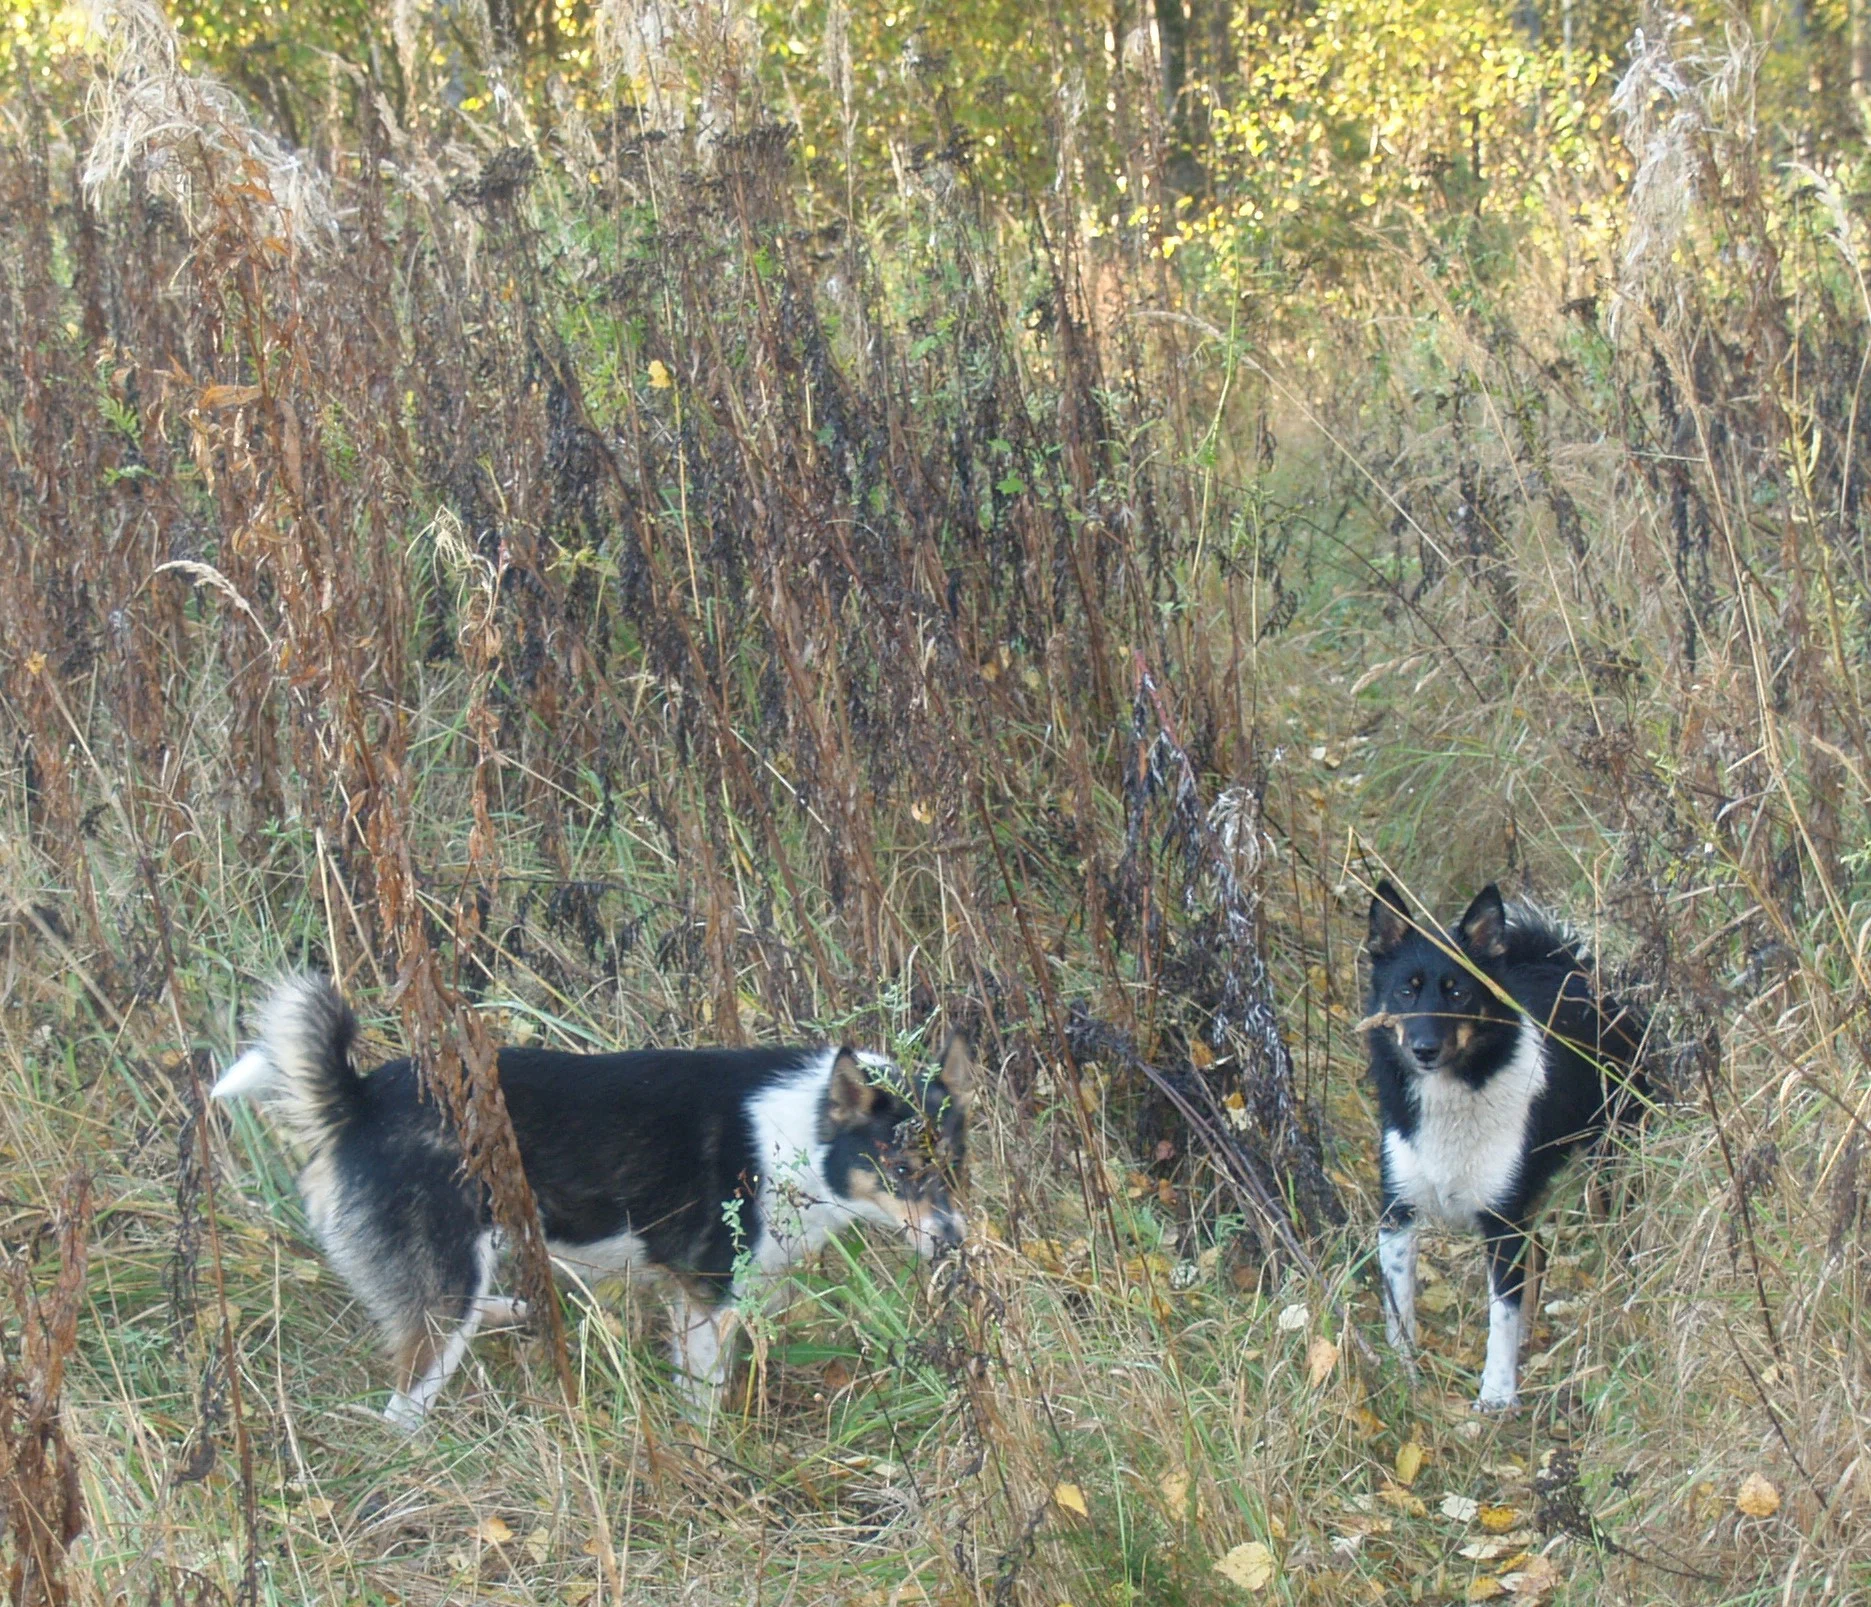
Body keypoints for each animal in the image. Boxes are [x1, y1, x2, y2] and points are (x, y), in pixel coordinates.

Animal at [214, 972, 972, 1429]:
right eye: (901, 1168)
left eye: (955, 1167)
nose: (954, 1239)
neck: (804, 1136)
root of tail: (358, 1100)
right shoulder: (707, 1300)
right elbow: (704, 1401)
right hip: (444, 1297)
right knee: (404, 1407)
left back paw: (513, 1311)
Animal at [1362, 886, 1653, 1414]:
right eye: (1405, 991)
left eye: (1458, 992)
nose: (1423, 1049)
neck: (1456, 1093)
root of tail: (1573, 970)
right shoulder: (1398, 1213)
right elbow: (1400, 1306)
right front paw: (1404, 1372)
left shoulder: (1502, 1223)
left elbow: (1502, 1315)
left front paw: (1496, 1395)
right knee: (1539, 1254)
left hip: (1610, 1163)